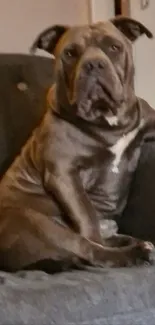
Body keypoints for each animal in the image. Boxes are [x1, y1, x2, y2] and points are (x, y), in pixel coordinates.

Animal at [0, 16, 154, 272]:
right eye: (70, 53)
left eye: (114, 47)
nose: (93, 64)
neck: (107, 123)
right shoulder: (63, 174)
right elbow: (87, 217)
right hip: (36, 222)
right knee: (90, 248)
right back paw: (135, 252)